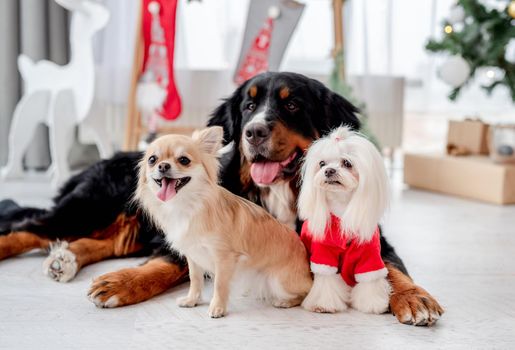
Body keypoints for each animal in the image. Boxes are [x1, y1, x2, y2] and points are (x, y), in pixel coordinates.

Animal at [0, 72, 444, 326]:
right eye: (248, 105)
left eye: (292, 104)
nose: (254, 132)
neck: (279, 192)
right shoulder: (190, 239)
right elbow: (165, 264)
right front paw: (124, 282)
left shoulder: (369, 237)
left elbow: (392, 270)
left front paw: (415, 298)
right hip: (89, 206)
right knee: (26, 228)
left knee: (99, 241)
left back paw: (65, 259)